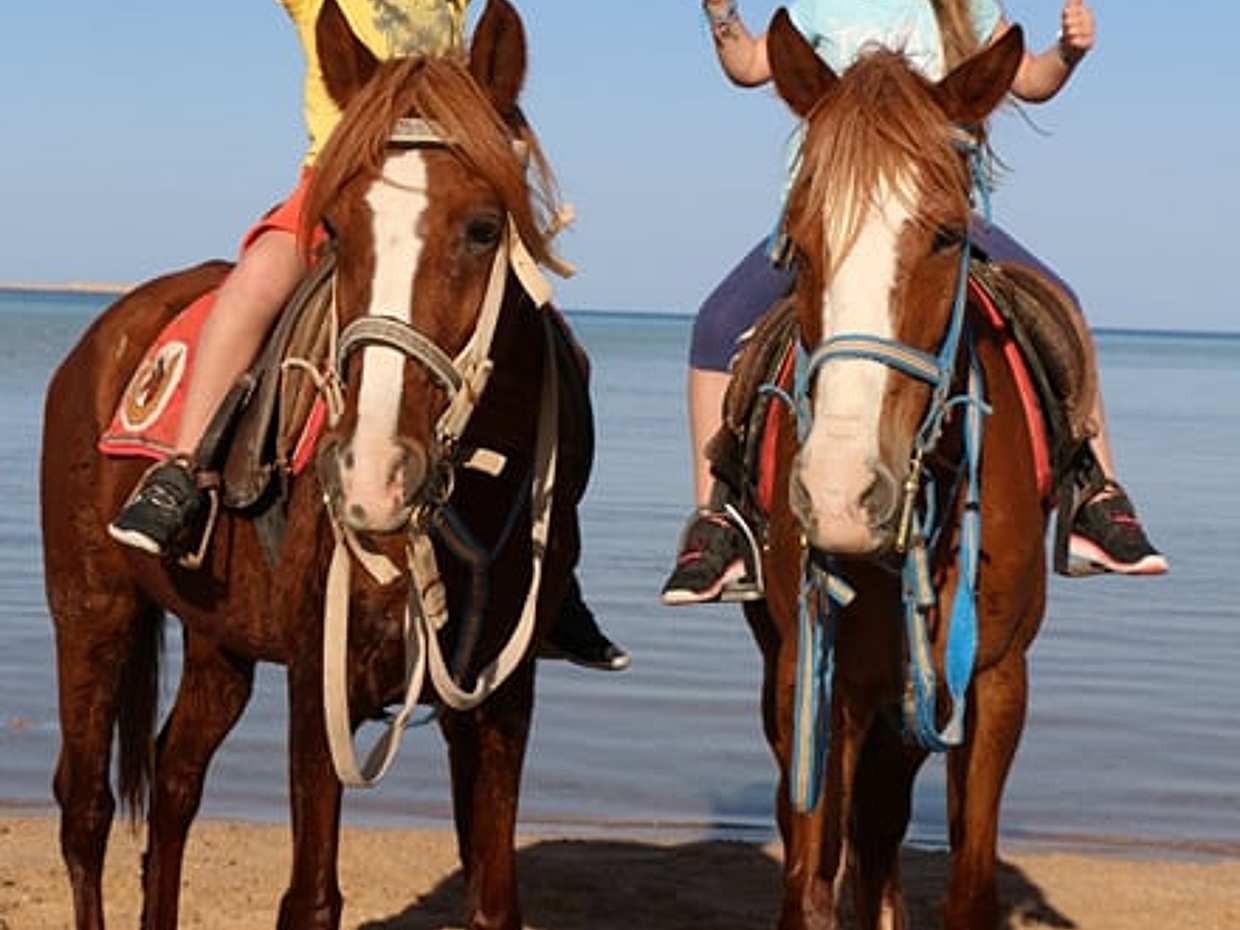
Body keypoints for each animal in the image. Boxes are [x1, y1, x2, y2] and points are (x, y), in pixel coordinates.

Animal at [40, 2, 584, 928]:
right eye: (334, 231)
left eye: (483, 228)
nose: (371, 475)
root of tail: (101, 339)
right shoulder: (316, 690)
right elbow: (311, 899)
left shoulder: (499, 703)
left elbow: (491, 900)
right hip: (92, 614)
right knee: (85, 810)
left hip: (218, 643)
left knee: (175, 783)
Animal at [736, 13, 1074, 930]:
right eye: (797, 240)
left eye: (946, 235)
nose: (840, 495)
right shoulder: (814, 676)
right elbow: (807, 882)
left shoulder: (993, 682)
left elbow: (968, 885)